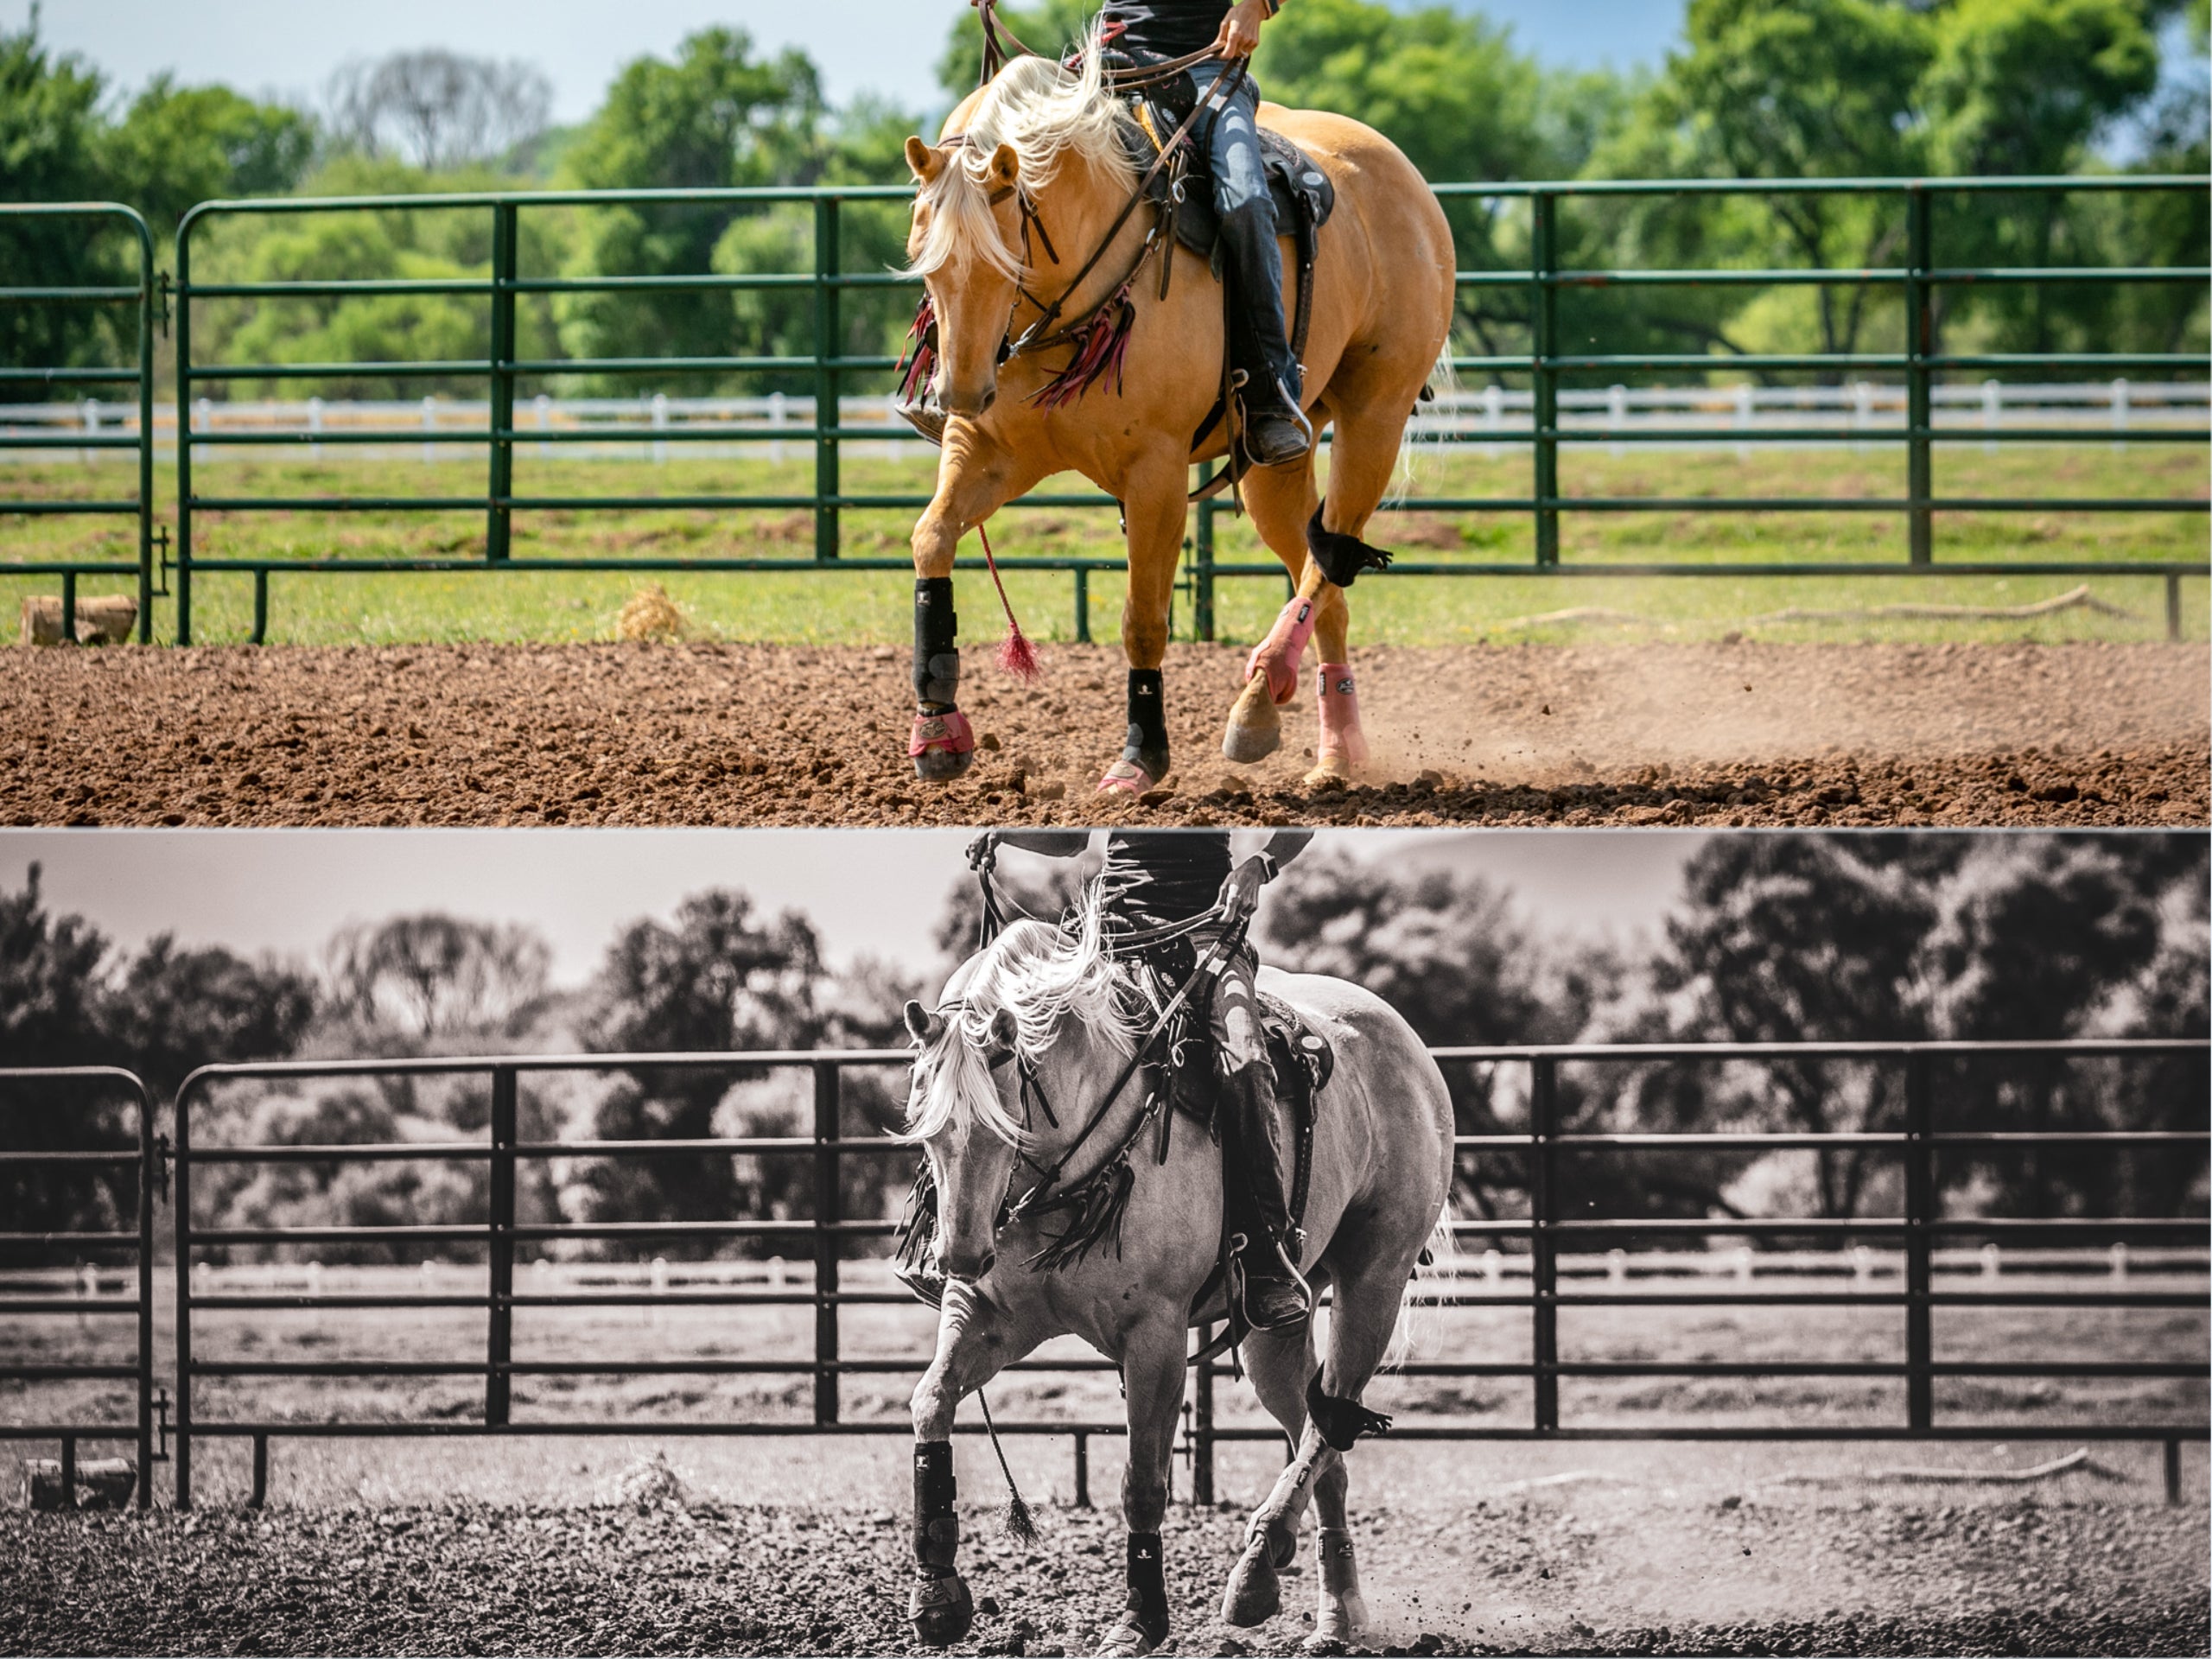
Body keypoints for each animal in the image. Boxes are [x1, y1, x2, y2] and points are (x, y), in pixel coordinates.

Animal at [893, 902, 1451, 1659]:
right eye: (927, 1131)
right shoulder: (987, 1315)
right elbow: (931, 1402)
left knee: (1331, 1419)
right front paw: (938, 1594)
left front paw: (1139, 1620)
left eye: (1001, 1128)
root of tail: (1408, 1046)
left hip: (1376, 1278)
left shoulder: (1154, 1334)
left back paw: (1258, 1567)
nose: (958, 1256)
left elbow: (1143, 1484)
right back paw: (1333, 1611)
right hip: (1273, 1329)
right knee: (1323, 1444)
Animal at [898, 41, 1451, 791]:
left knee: (1332, 555)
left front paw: (1140, 757)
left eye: (1003, 261)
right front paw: (937, 729)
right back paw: (1331, 748)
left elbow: (1143, 620)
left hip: (1377, 416)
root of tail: (1408, 181)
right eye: (925, 262)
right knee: (1325, 582)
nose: (958, 393)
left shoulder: (1154, 472)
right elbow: (931, 539)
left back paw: (1262, 696)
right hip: (1275, 460)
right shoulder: (988, 451)